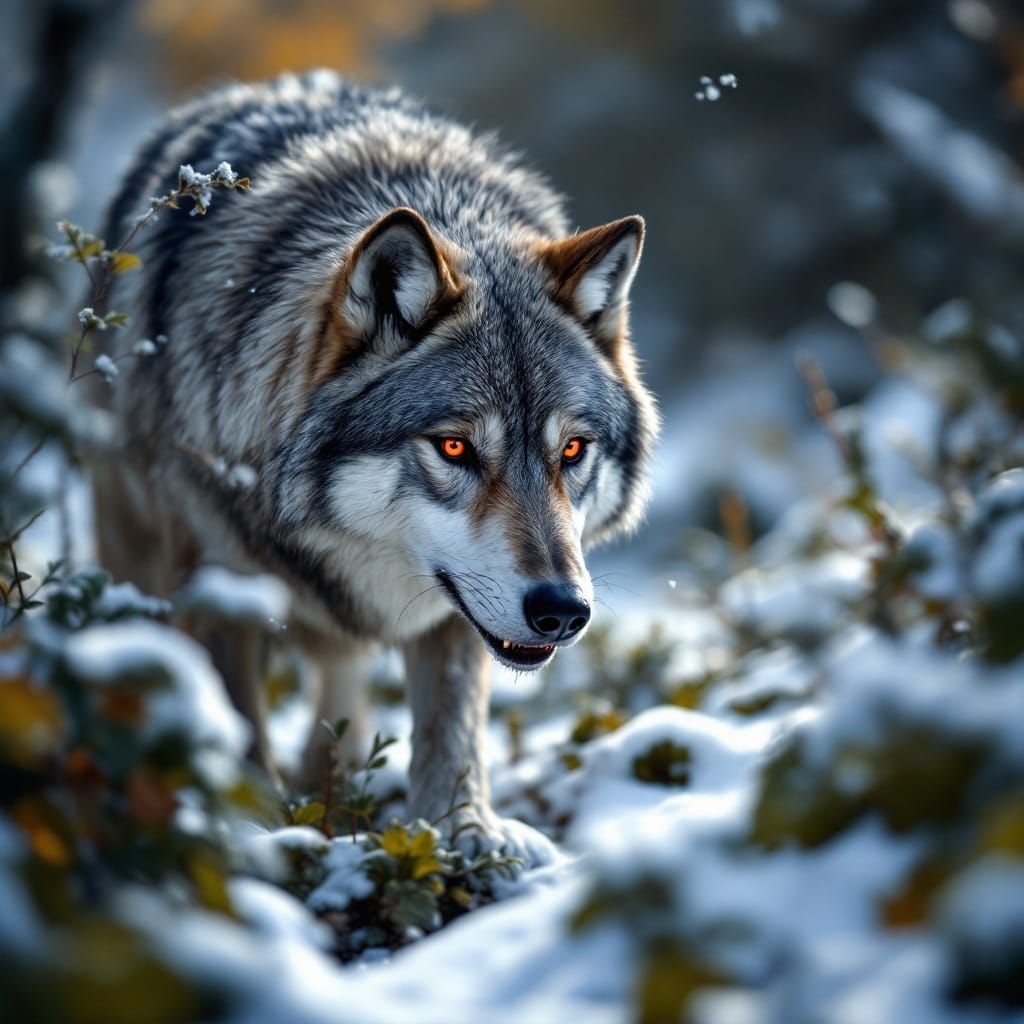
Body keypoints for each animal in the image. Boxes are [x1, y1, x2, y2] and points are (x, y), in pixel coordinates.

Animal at [93, 70, 658, 861]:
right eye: (454, 447)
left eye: (571, 450)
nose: (562, 611)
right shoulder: (213, 587)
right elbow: (237, 719)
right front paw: (247, 828)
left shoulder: (460, 615)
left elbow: (453, 726)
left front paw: (463, 832)